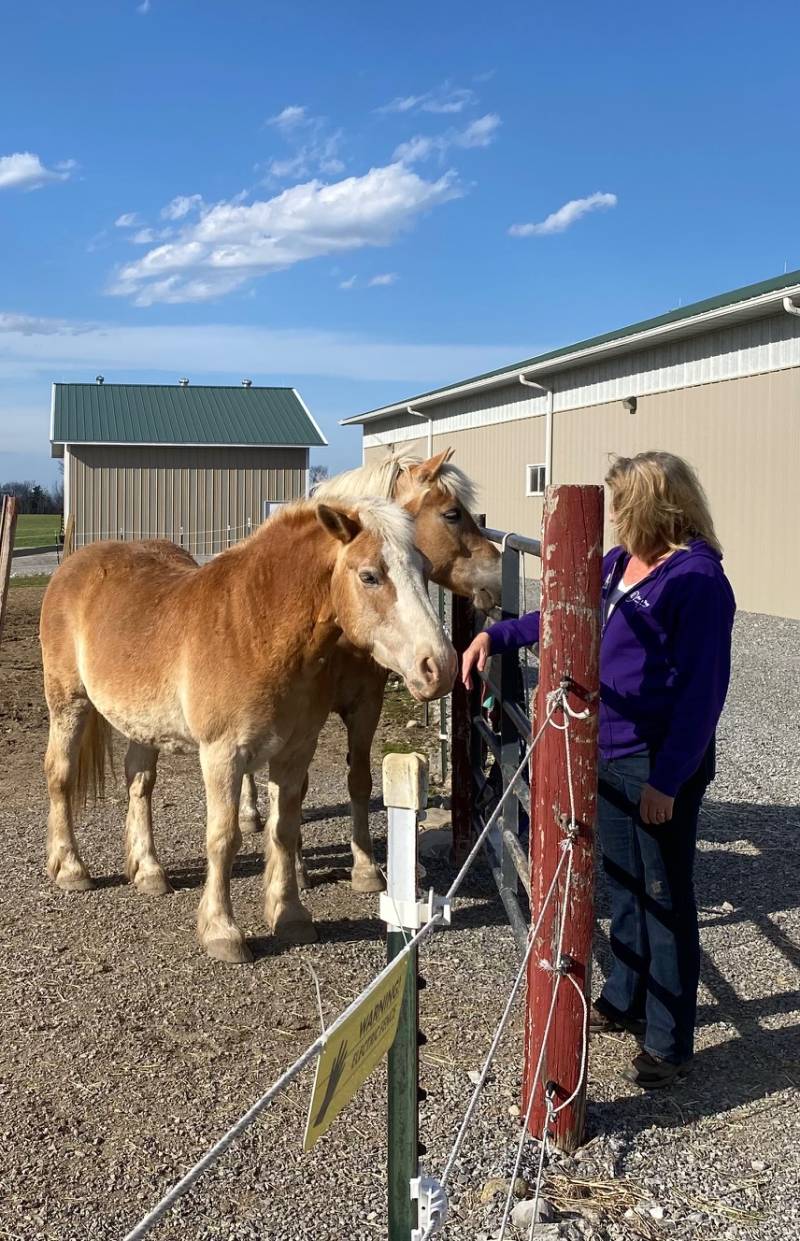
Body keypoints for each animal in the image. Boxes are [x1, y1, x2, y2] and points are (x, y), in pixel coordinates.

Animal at [42, 498, 456, 963]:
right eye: (370, 575)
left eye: (424, 569)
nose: (439, 667)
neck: (255, 630)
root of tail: (74, 562)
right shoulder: (222, 754)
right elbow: (224, 838)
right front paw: (222, 931)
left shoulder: (295, 752)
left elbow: (284, 831)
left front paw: (290, 915)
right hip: (68, 704)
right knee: (60, 776)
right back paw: (71, 868)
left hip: (142, 726)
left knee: (139, 783)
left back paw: (148, 871)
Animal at [236, 451, 498, 898]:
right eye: (452, 513)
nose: (497, 573)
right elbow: (297, 787)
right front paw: (298, 868)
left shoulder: (367, 705)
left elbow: (359, 780)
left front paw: (365, 867)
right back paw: (250, 812)